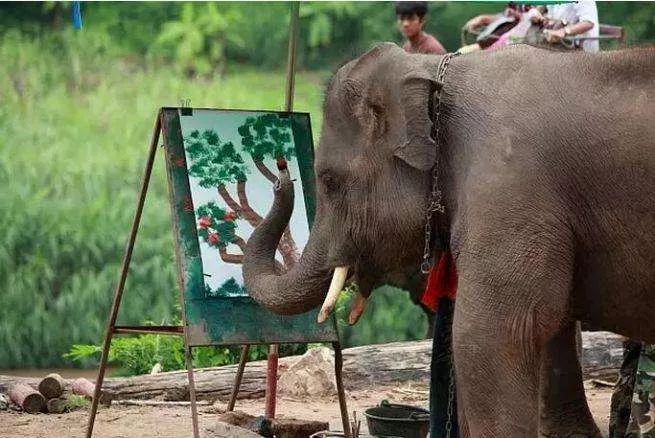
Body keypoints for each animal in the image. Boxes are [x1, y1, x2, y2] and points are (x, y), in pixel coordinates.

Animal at [242, 42, 655, 436]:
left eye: (328, 180)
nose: (281, 171)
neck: (436, 72)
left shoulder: (508, 192)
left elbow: (485, 337)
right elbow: (551, 327)